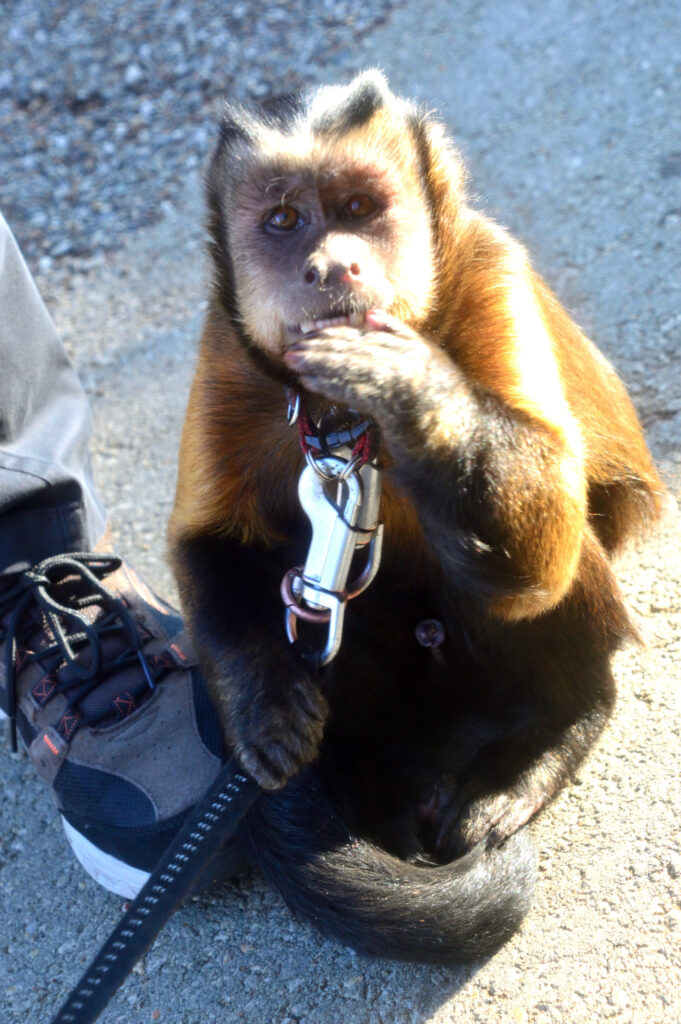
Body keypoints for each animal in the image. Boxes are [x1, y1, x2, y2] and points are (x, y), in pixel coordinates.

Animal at [168, 71, 662, 963]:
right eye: (284, 221)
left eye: (359, 207)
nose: (333, 263)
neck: (343, 422)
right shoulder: (225, 349)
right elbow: (206, 541)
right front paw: (263, 701)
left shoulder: (492, 271)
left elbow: (545, 537)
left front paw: (405, 382)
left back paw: (554, 732)